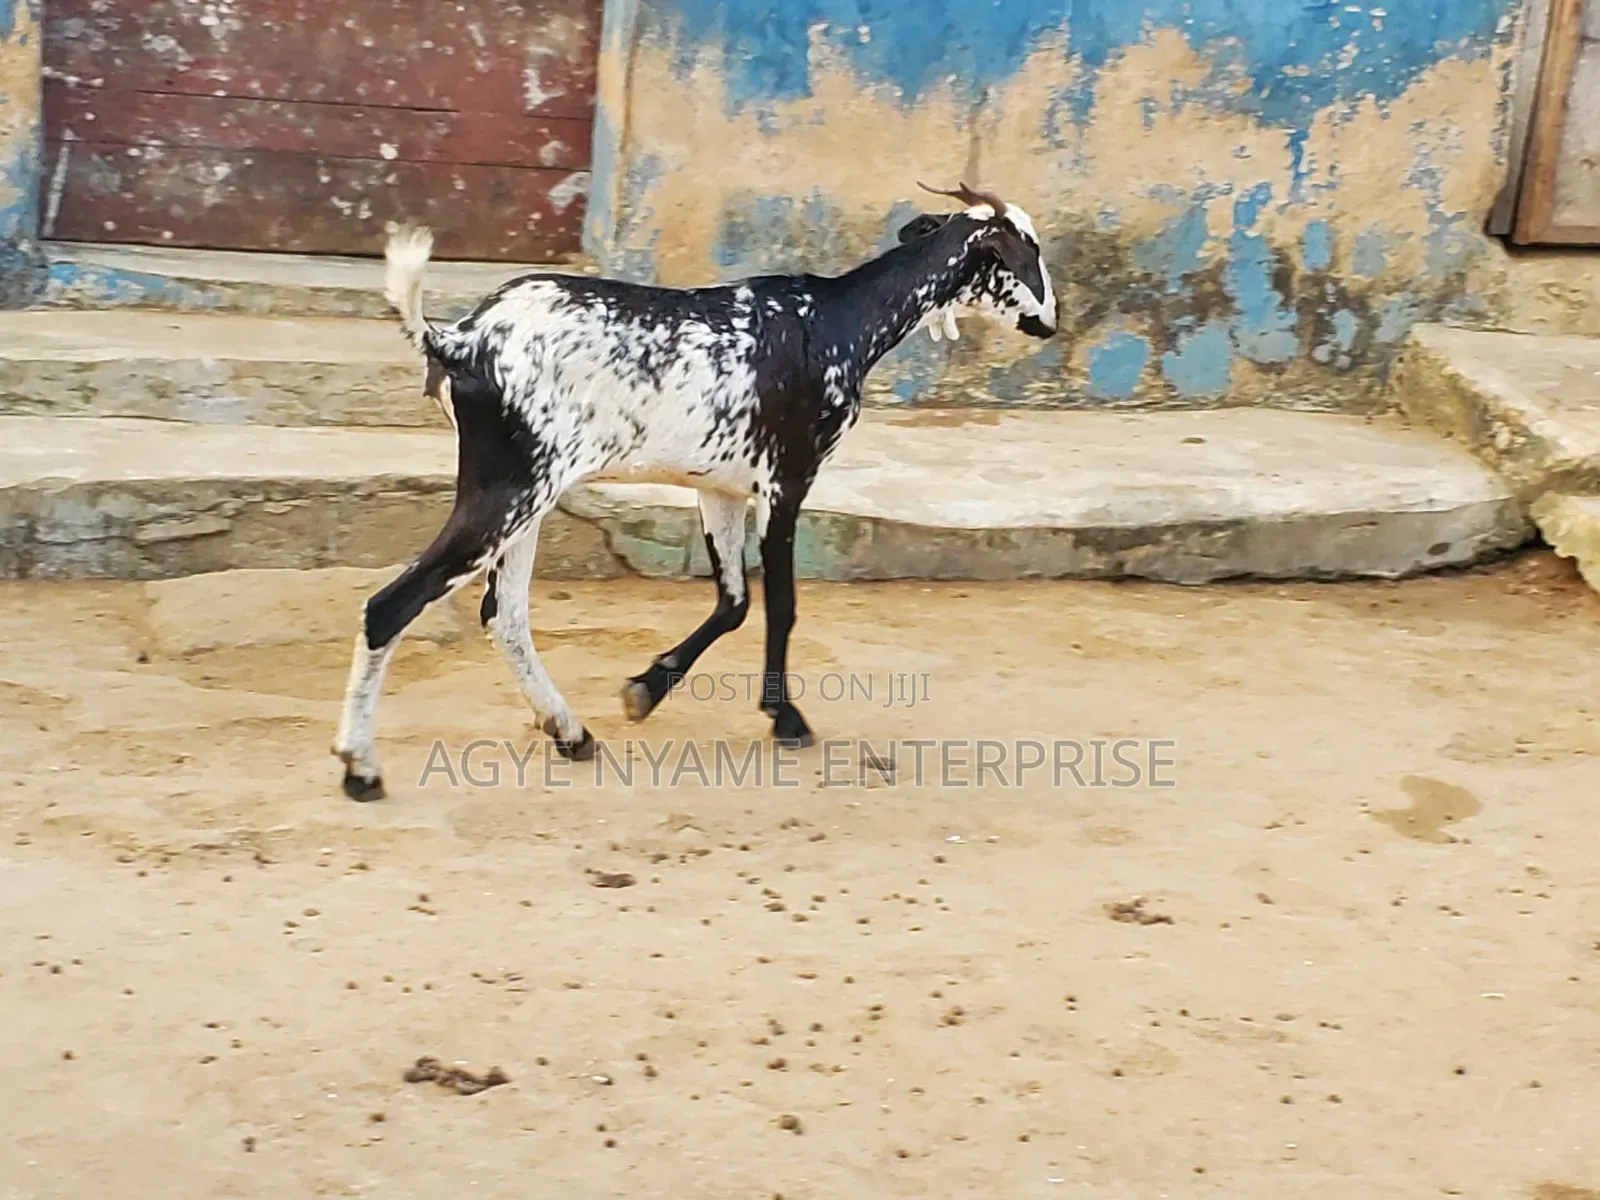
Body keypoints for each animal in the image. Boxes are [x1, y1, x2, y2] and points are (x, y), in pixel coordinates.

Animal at [332, 181, 1058, 801]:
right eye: (1028, 254)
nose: (1050, 322)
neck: (836, 320)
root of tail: (459, 338)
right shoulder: (788, 479)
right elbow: (782, 605)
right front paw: (786, 718)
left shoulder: (722, 490)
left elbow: (735, 602)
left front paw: (645, 688)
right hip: (506, 490)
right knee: (390, 606)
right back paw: (361, 768)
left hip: (526, 499)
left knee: (504, 616)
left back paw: (569, 731)